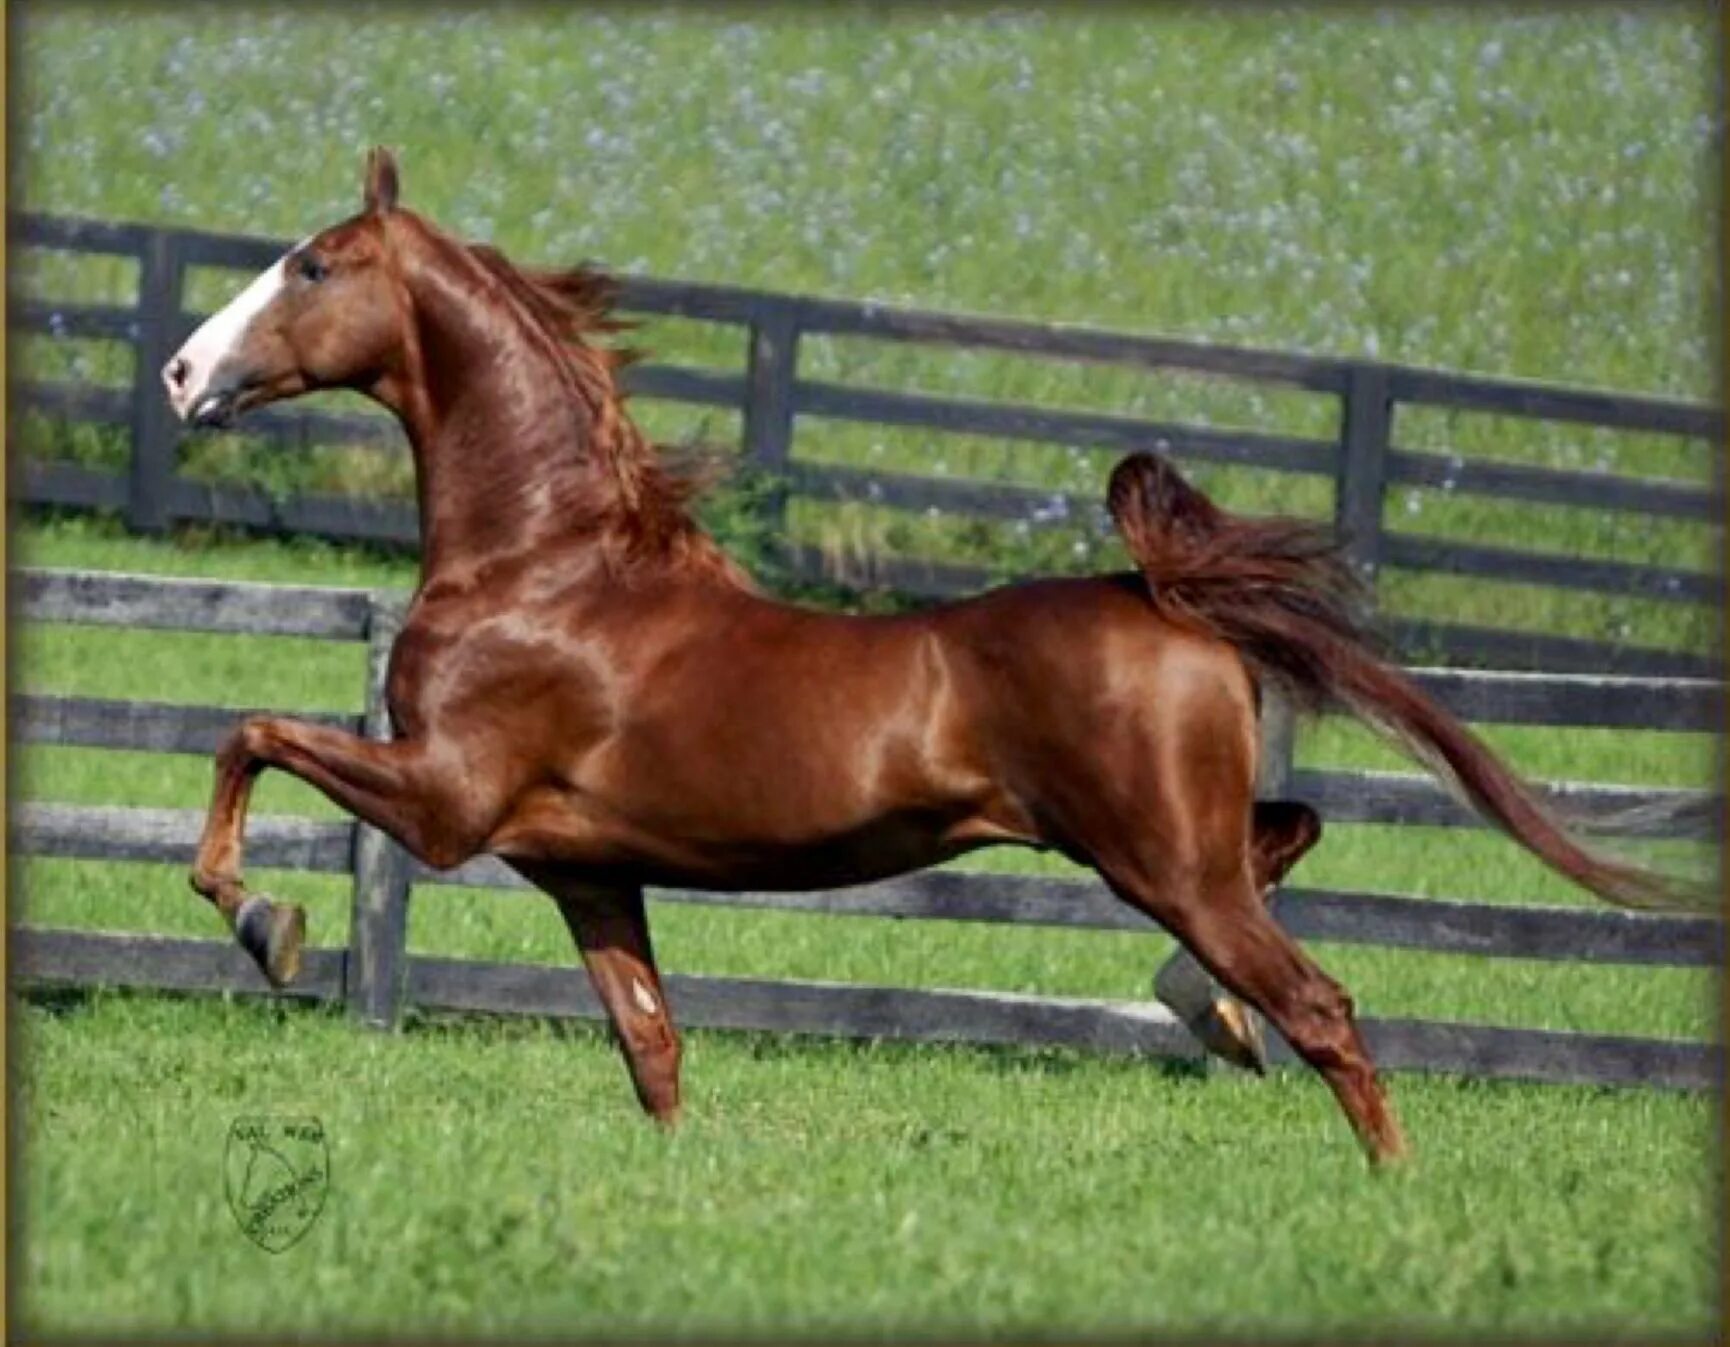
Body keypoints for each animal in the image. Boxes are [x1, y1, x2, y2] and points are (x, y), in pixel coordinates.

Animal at [162, 145, 1688, 1161]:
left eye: (312, 265)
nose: (183, 376)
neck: (544, 564)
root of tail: (1166, 598)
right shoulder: (584, 868)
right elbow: (651, 1046)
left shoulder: (443, 800)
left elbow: (248, 733)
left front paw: (265, 923)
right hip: (1173, 842)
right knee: (1288, 847)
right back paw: (1208, 1015)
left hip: (1158, 854)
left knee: (1317, 999)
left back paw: (1375, 1170)